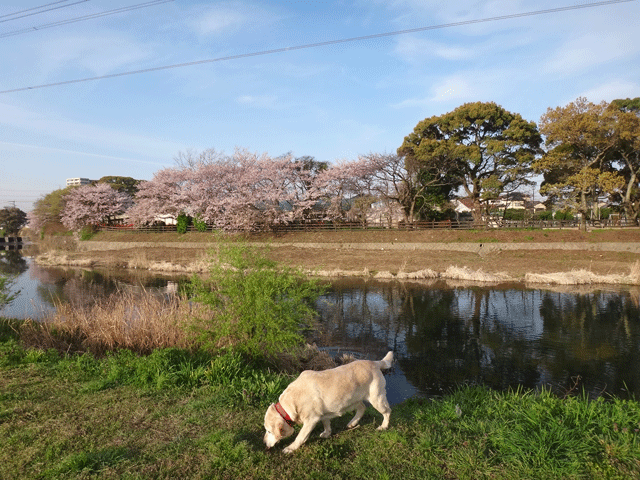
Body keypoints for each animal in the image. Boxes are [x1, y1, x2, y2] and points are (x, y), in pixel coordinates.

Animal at [262, 350, 392, 452]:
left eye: (269, 431)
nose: (263, 442)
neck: (293, 400)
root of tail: (374, 362)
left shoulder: (311, 420)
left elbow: (300, 436)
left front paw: (290, 448)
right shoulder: (322, 414)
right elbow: (326, 423)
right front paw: (327, 433)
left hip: (377, 399)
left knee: (387, 411)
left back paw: (383, 426)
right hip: (352, 400)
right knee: (362, 408)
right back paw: (352, 423)